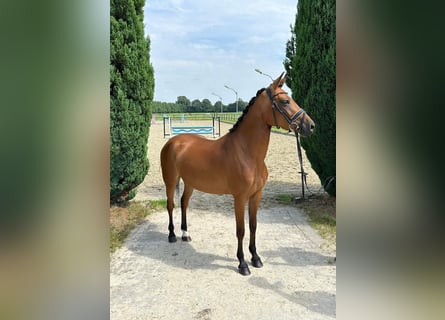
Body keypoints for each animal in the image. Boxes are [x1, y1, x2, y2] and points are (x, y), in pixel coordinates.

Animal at [159, 72, 312, 276]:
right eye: (285, 101)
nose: (310, 125)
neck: (247, 153)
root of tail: (173, 141)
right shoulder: (239, 198)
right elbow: (241, 230)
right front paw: (242, 264)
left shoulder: (256, 196)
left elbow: (253, 226)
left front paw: (256, 258)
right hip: (170, 180)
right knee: (170, 205)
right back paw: (172, 235)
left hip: (190, 182)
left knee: (184, 203)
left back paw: (185, 234)